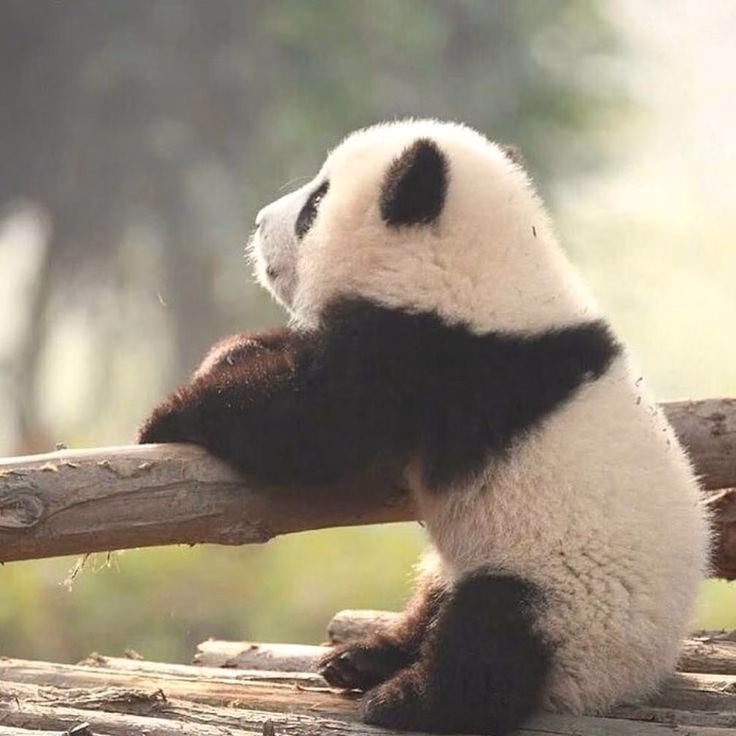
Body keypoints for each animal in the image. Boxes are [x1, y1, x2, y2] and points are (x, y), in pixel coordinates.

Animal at [139, 119, 710, 735]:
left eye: (314, 206)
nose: (259, 222)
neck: (482, 270)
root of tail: (637, 679)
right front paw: (231, 352)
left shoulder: (442, 363)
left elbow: (317, 429)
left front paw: (169, 415)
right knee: (433, 604)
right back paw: (362, 659)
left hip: (567, 599)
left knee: (492, 637)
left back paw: (404, 699)